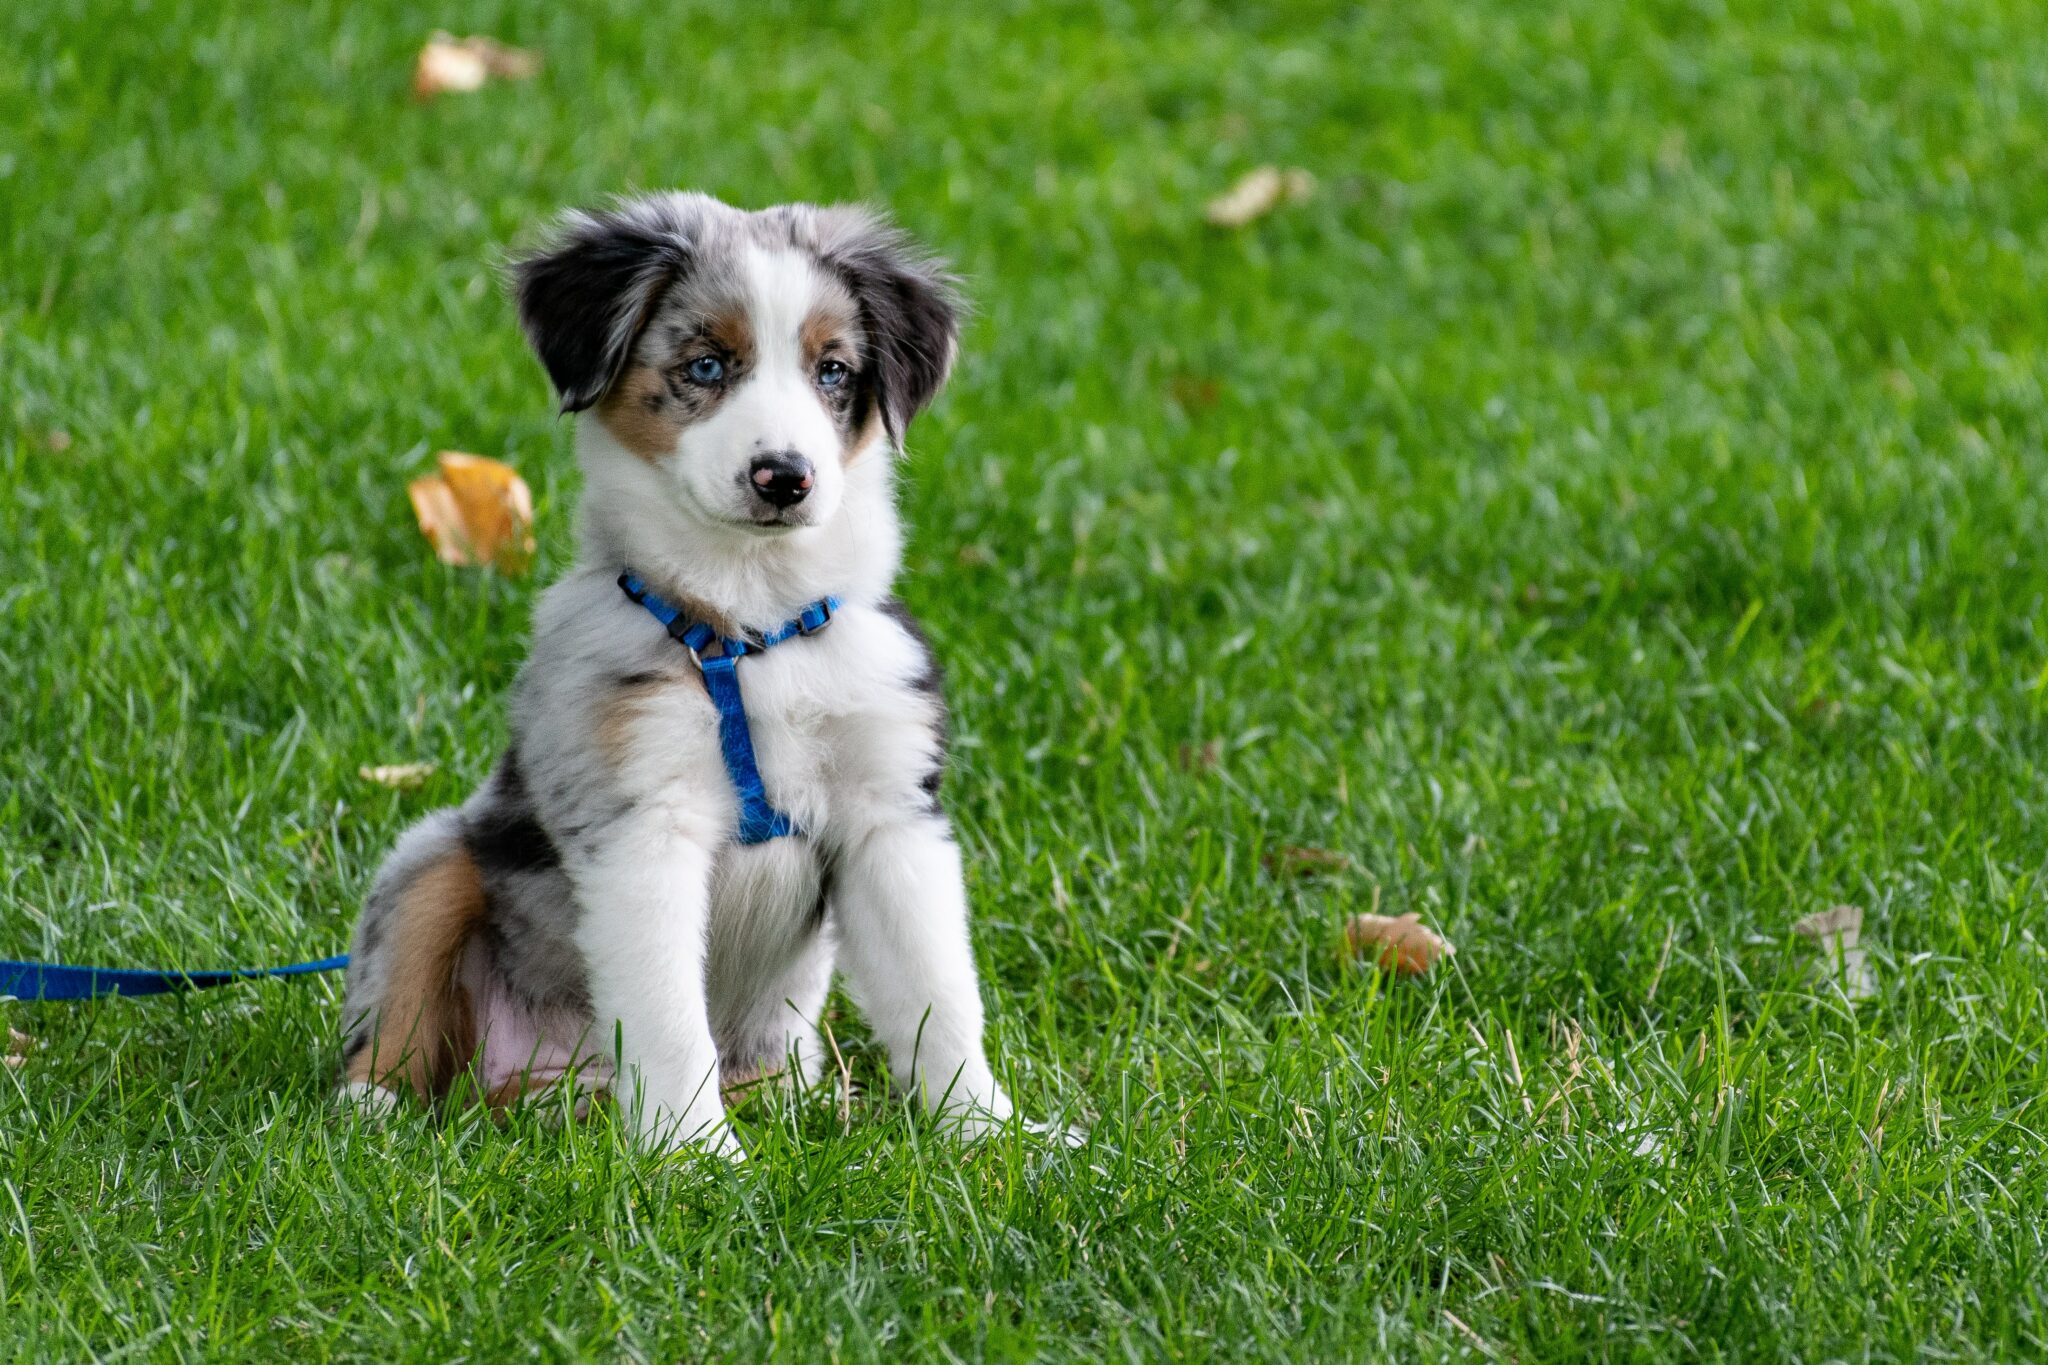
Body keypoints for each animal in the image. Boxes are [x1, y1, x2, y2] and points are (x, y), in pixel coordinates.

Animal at [339, 189, 1056, 1154]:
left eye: (834, 371)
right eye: (706, 365)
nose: (784, 477)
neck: (751, 628)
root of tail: (549, 1084)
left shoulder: (891, 817)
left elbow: (939, 997)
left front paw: (990, 1134)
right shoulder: (643, 824)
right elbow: (670, 1016)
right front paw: (695, 1156)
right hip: (433, 857)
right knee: (401, 1009)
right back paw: (372, 1109)